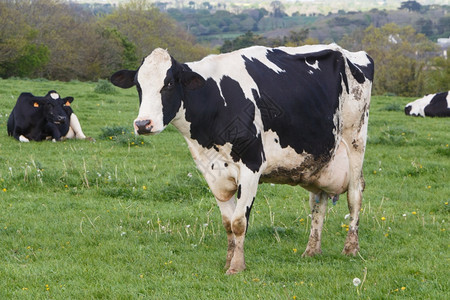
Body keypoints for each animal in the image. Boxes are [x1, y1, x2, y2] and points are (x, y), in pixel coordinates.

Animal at [110, 44, 374, 274]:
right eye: (138, 85)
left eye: (169, 83)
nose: (143, 124)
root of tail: (348, 52)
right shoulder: (212, 172)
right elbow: (227, 223)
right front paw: (228, 261)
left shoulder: (251, 167)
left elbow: (239, 222)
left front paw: (237, 267)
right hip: (318, 160)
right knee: (318, 203)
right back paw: (311, 250)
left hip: (355, 141)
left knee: (354, 196)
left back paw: (351, 248)